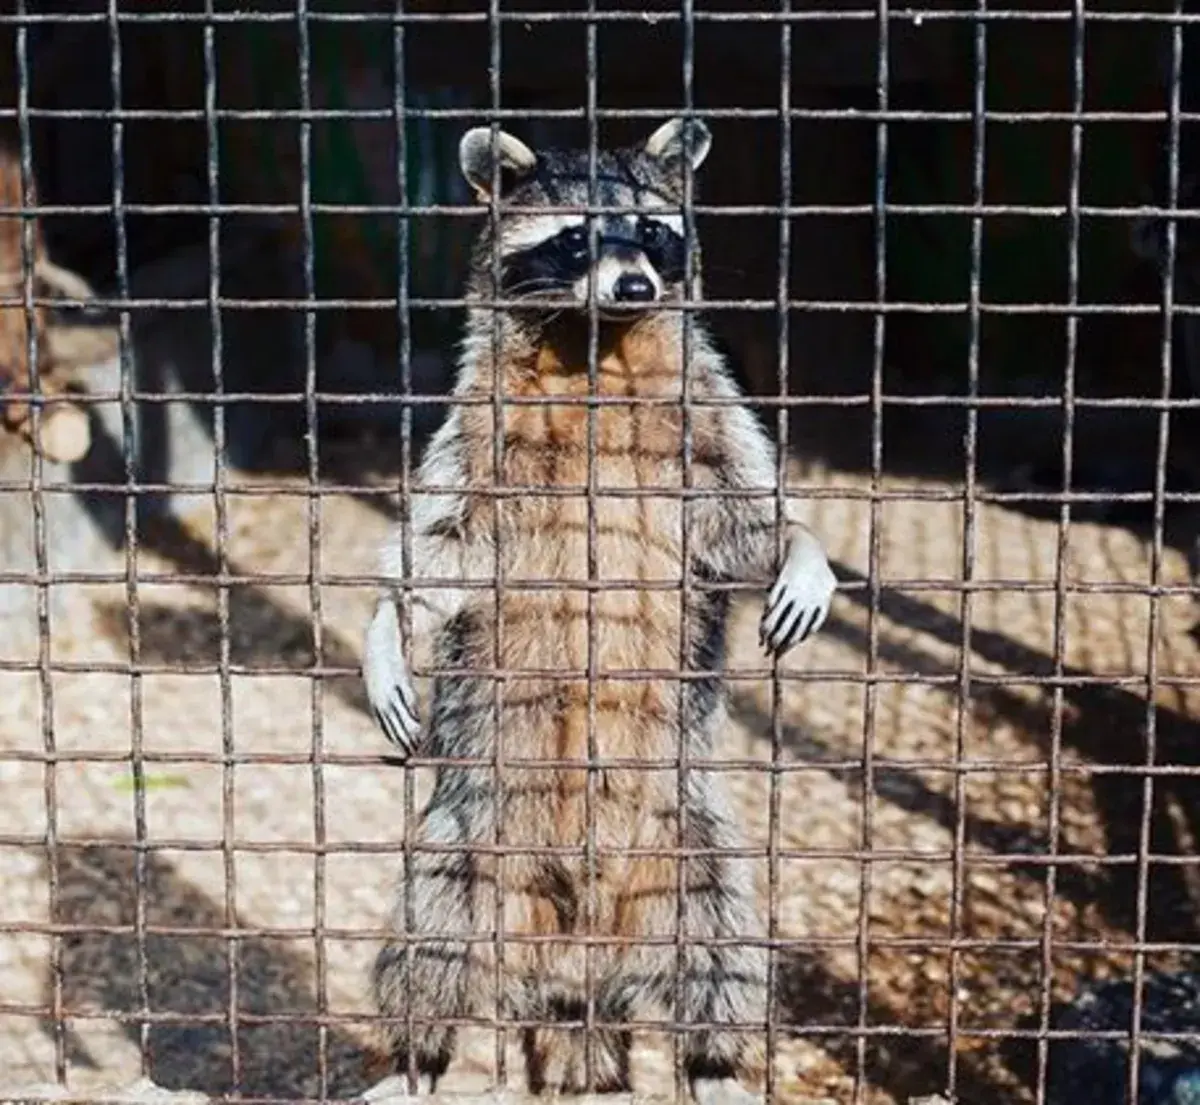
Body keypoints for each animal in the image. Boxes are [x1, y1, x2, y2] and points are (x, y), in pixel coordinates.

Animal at [360, 116, 840, 1099]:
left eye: (652, 231)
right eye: (577, 238)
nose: (635, 285)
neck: (595, 347)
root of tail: (577, 964)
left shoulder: (707, 413)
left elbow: (744, 519)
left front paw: (801, 544)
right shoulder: (478, 430)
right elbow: (442, 545)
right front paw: (389, 616)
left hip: (688, 835)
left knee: (722, 949)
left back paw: (718, 1060)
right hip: (474, 837)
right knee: (428, 938)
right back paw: (413, 1055)